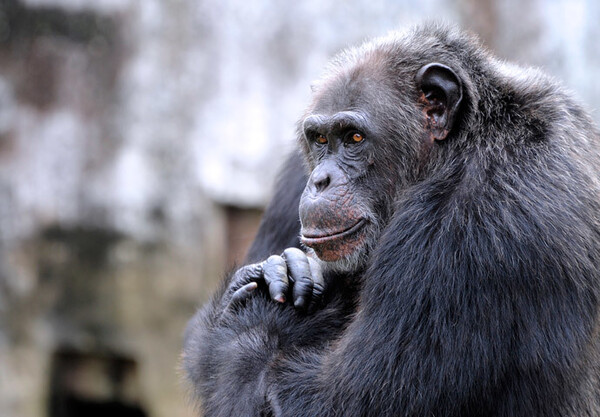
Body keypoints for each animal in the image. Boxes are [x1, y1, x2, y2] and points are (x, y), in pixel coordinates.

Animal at [182, 23, 600, 416]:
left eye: (353, 137)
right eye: (320, 139)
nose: (319, 181)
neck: (459, 148)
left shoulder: (473, 222)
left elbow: (330, 400)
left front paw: (276, 301)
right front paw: (268, 274)